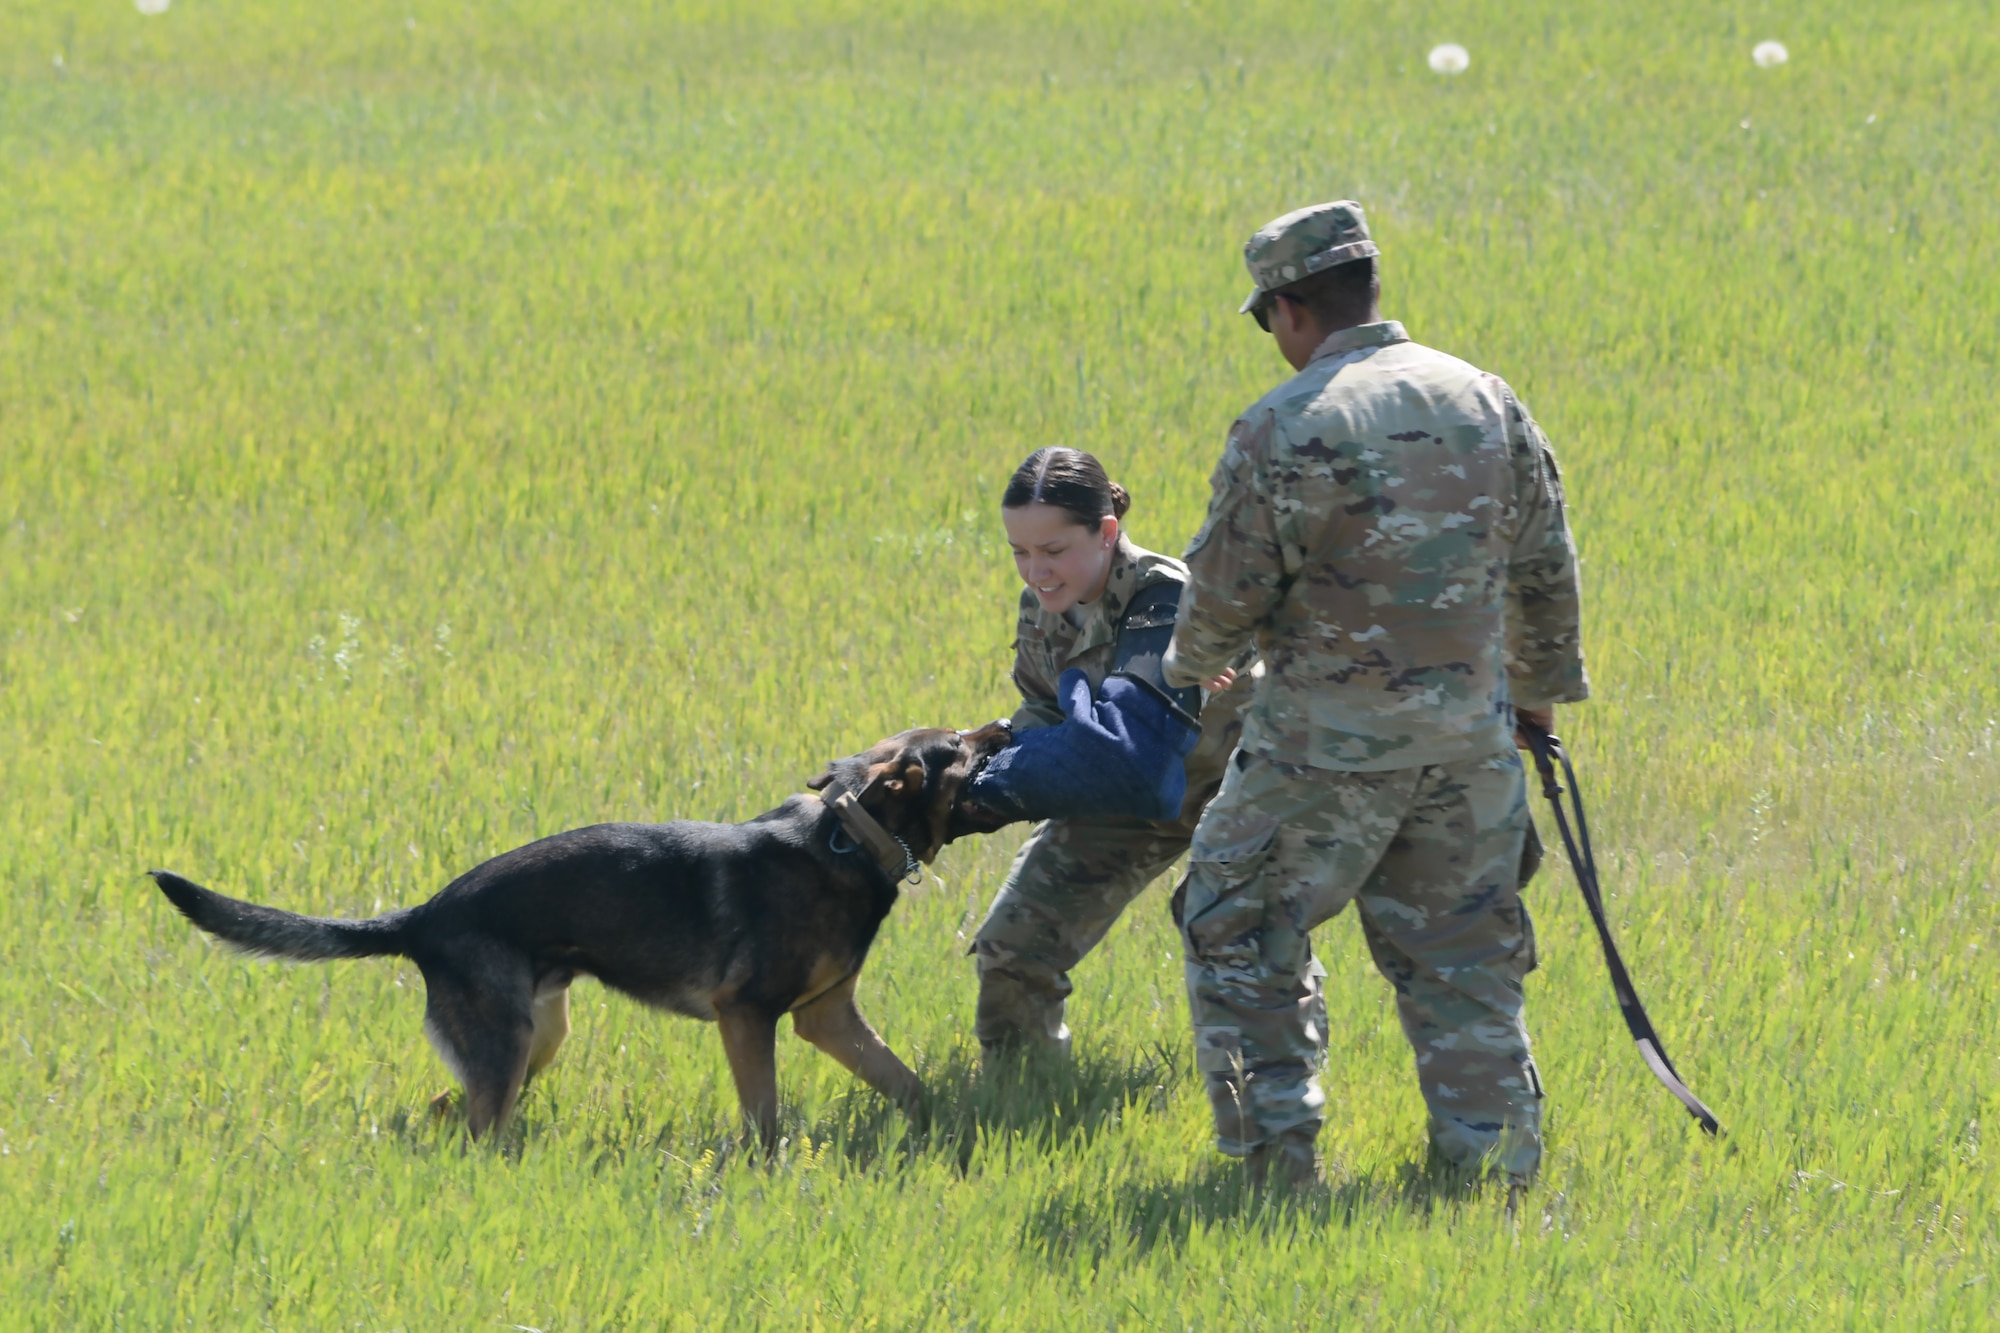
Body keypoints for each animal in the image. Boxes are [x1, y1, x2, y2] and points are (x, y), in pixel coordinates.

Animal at [152, 720, 1016, 1136]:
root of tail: (423, 915)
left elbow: (907, 1082)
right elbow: (764, 1120)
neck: (850, 836)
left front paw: (946, 1131)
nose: (1007, 725)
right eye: (957, 745)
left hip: (535, 1040)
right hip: (507, 1047)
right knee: (473, 1128)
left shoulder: (826, 1016)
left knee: (446, 1109)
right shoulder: (747, 1015)